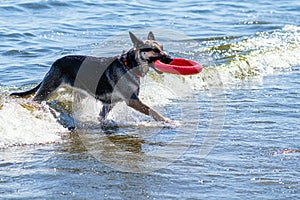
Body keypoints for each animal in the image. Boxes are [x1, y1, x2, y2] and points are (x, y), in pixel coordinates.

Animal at [11, 31, 173, 126]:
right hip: (49, 89)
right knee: (34, 100)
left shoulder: (110, 103)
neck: (129, 65)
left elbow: (102, 116)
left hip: (75, 94)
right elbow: (153, 111)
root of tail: (55, 63)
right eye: (155, 50)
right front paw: (168, 120)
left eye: (162, 48)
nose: (170, 58)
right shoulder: (132, 101)